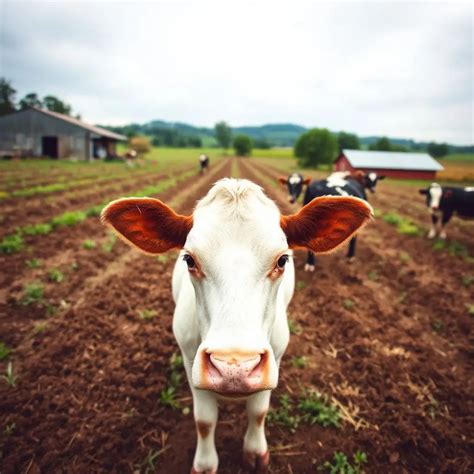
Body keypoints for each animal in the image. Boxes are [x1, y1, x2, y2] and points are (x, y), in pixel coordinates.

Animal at [102, 179, 372, 474]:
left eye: (282, 260)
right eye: (189, 259)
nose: (235, 367)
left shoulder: (276, 357)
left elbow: (258, 411)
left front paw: (255, 450)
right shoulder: (189, 358)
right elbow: (204, 420)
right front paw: (205, 462)